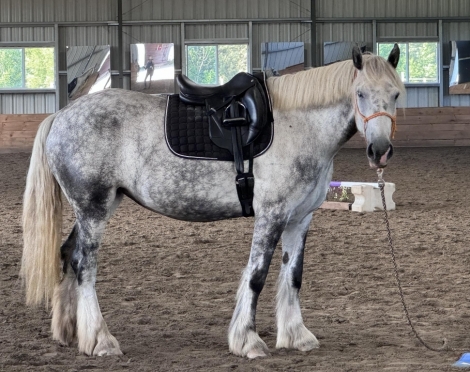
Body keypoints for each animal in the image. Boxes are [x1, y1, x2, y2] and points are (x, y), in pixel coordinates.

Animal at [22, 45, 404, 358]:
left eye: (396, 94)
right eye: (360, 93)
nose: (380, 151)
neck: (297, 125)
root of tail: (61, 115)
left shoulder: (300, 218)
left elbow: (293, 276)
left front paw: (297, 336)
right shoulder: (272, 215)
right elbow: (257, 276)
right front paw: (248, 341)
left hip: (96, 208)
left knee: (68, 254)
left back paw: (70, 332)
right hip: (93, 209)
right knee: (84, 265)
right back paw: (100, 340)